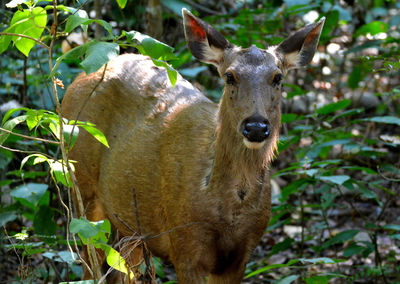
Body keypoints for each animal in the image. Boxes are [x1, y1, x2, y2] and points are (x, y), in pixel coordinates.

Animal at [61, 8, 324, 284]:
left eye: (278, 77)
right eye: (230, 76)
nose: (255, 126)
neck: (230, 210)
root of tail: (81, 75)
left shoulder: (241, 253)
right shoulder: (184, 242)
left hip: (128, 224)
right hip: (80, 184)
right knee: (89, 262)